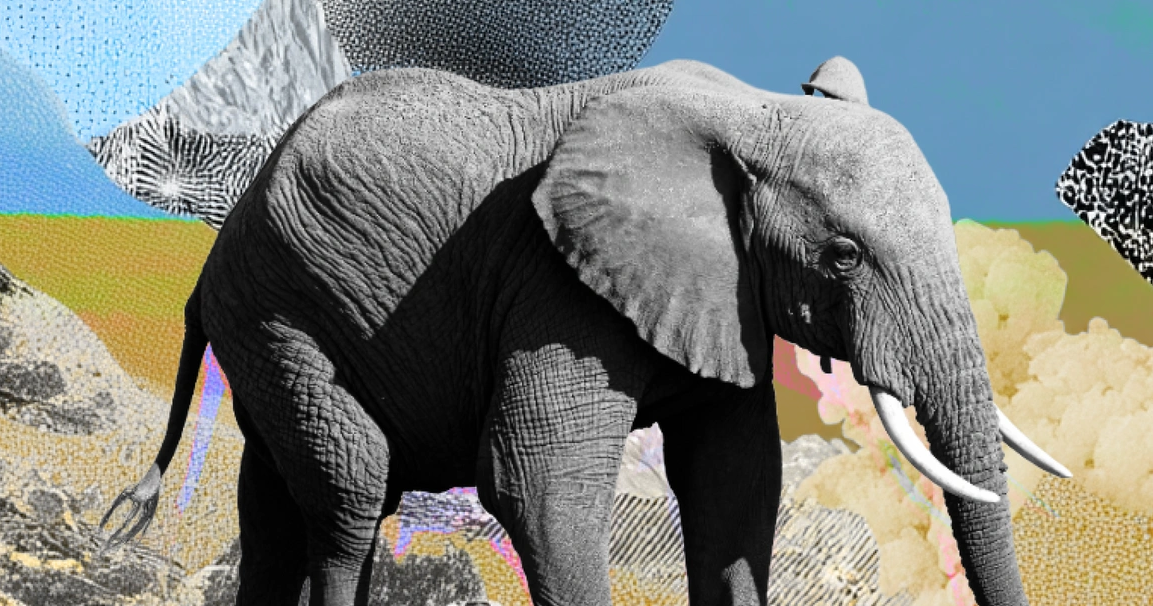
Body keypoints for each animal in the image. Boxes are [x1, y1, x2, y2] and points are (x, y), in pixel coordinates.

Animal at [99, 56, 1072, 606]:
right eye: (842, 256)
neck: (749, 112)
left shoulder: (722, 293)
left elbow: (735, 487)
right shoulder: (553, 286)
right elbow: (536, 481)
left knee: (276, 503)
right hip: (277, 308)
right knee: (352, 489)